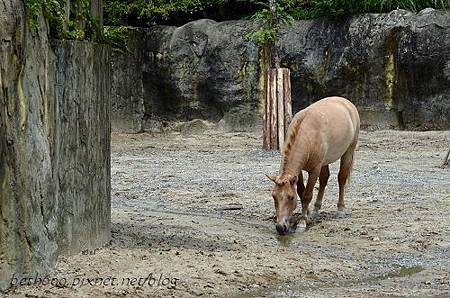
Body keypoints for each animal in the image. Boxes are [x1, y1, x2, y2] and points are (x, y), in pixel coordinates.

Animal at [266, 96, 360, 234]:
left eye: (291, 198)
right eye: (274, 196)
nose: (280, 227)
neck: (308, 134)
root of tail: (347, 102)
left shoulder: (315, 169)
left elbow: (307, 195)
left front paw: (302, 222)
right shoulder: (298, 172)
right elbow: (301, 191)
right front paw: (309, 214)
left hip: (348, 151)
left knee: (341, 179)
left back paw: (340, 209)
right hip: (324, 162)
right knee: (324, 179)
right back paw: (316, 210)